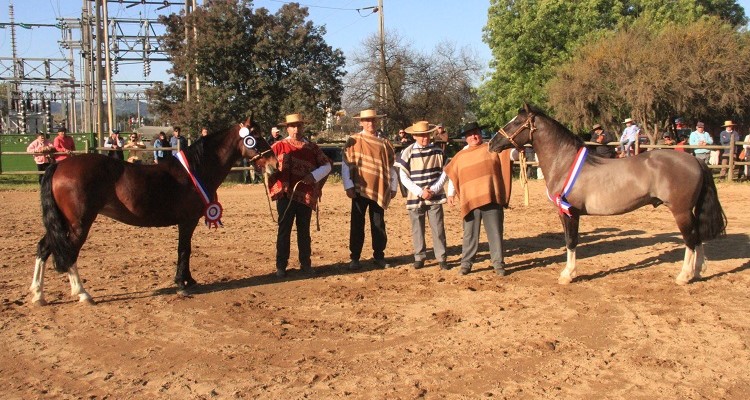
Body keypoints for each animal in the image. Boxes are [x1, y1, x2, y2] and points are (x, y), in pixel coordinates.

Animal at [30, 120, 280, 304]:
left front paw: (189, 280)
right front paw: (181, 284)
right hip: (78, 223)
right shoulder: (187, 221)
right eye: (256, 137)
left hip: (64, 222)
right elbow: (184, 250)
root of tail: (60, 165)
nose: (274, 165)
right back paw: (82, 294)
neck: (194, 171)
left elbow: (186, 250)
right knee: (69, 253)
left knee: (44, 248)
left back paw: (38, 295)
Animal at [490, 104, 724, 286]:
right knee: (697, 237)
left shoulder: (570, 212)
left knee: (691, 239)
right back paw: (698, 271)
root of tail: (696, 161)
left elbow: (571, 241)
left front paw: (568, 275)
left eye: (516, 122)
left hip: (681, 211)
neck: (564, 163)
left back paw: (684, 276)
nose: (492, 143)